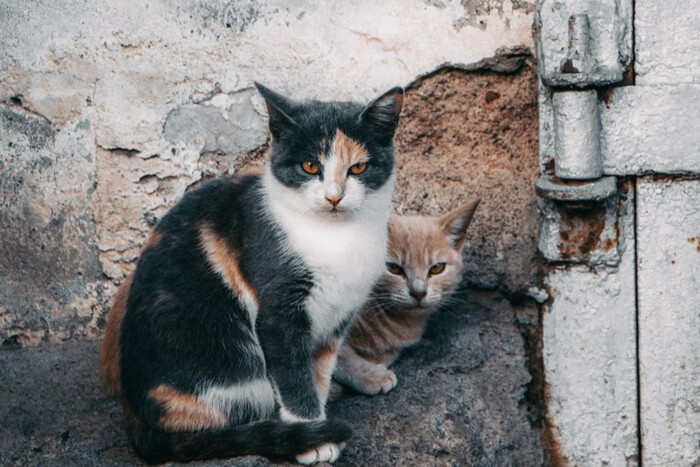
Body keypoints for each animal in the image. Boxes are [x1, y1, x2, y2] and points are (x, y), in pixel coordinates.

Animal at [99, 83, 404, 464]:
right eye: (309, 166)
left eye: (359, 167)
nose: (334, 197)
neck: (336, 237)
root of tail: (134, 417)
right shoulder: (278, 314)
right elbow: (293, 376)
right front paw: (312, 439)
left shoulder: (337, 317)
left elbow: (316, 372)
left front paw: (318, 417)